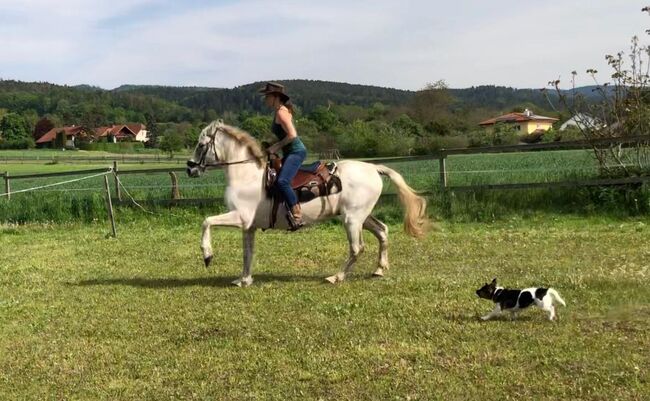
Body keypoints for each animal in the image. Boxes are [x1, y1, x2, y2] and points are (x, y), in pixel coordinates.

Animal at [185, 120, 426, 286]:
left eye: (201, 145)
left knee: (357, 248)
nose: (190, 168)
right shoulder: (248, 226)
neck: (247, 175)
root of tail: (373, 168)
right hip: (361, 216)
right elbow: (247, 253)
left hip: (352, 220)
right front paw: (244, 280)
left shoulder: (240, 217)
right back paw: (379, 270)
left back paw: (336, 277)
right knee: (382, 231)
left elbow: (206, 221)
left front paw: (207, 255)